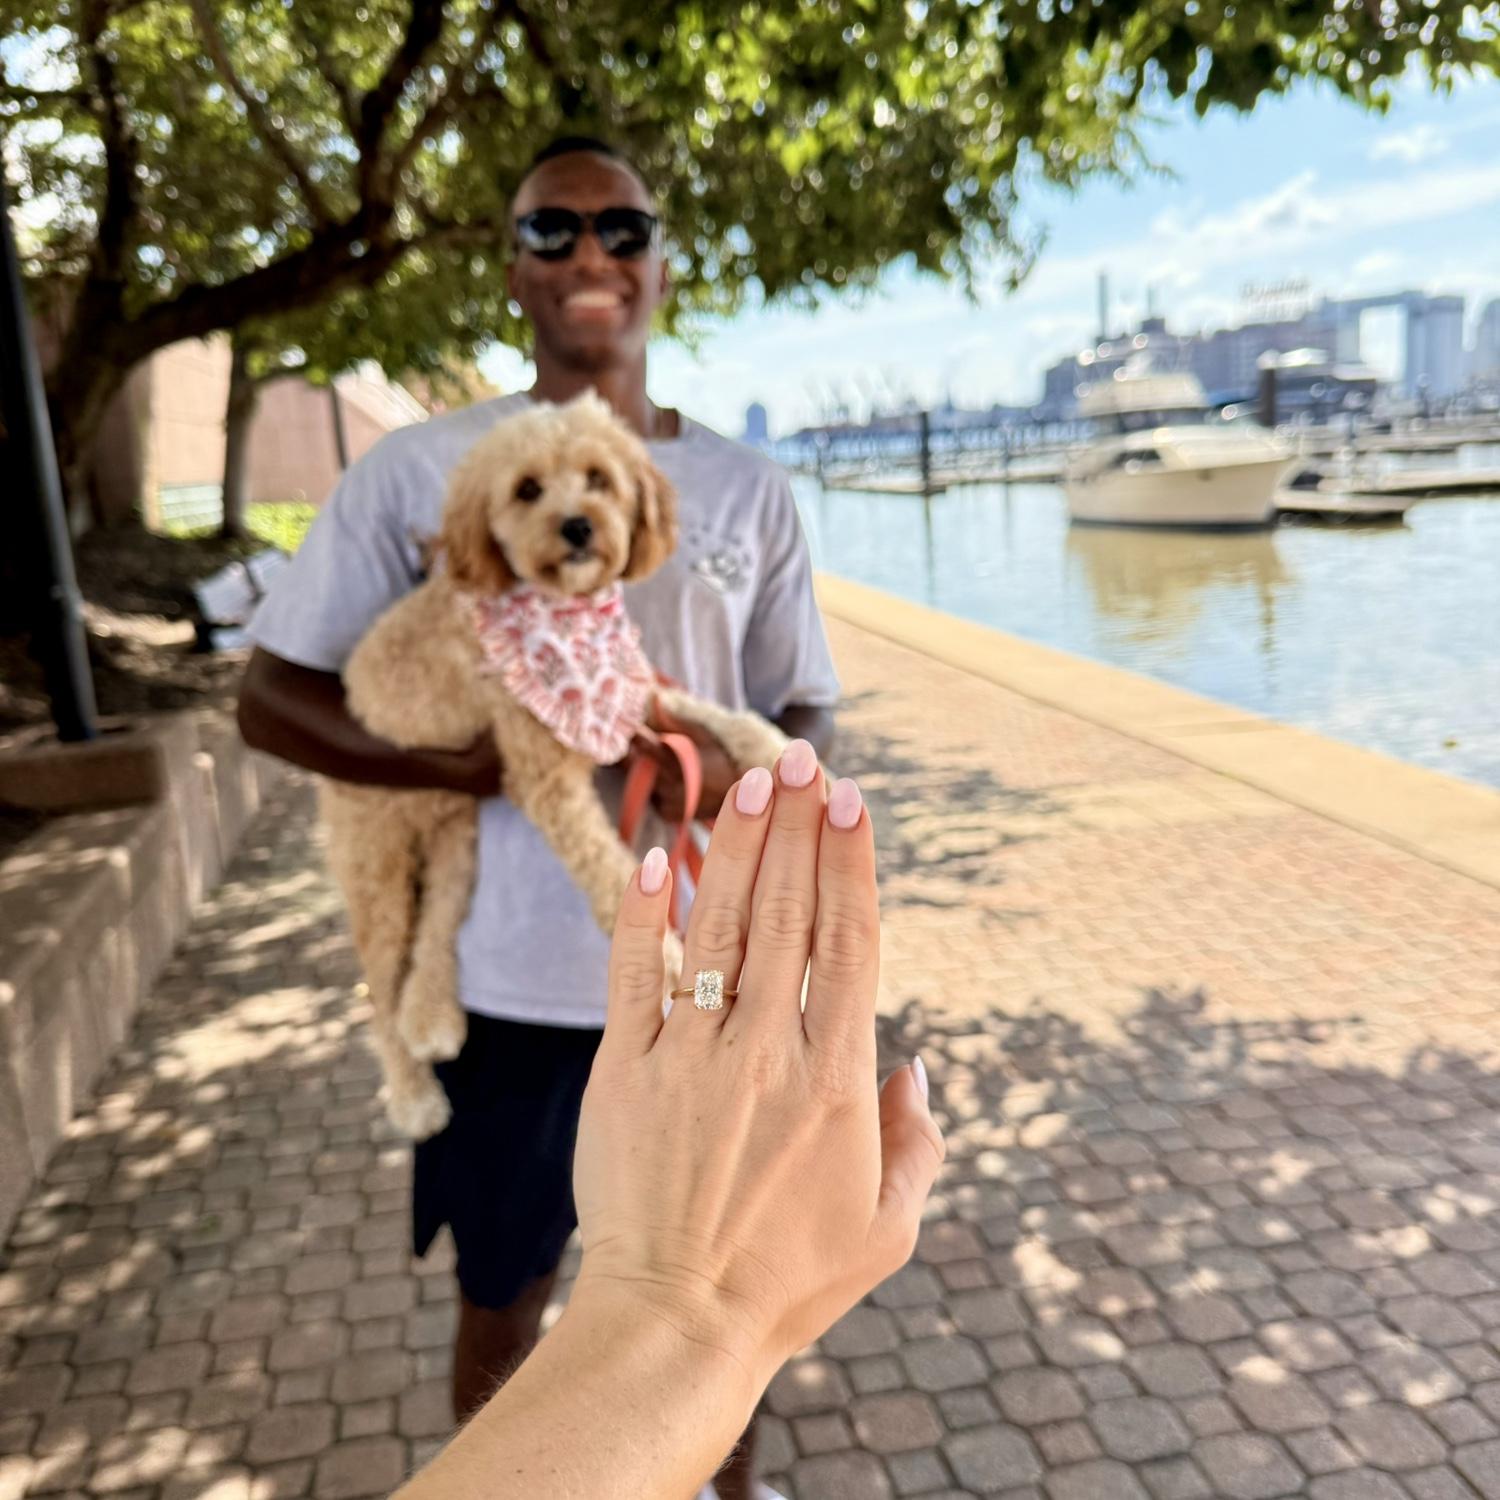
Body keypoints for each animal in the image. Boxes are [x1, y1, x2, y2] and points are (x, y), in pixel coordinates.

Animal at [321, 394, 790, 1138]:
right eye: (526, 489)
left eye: (598, 478)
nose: (577, 525)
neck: (567, 618)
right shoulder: (544, 774)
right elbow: (608, 868)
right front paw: (664, 954)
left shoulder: (630, 696)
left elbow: (698, 705)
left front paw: (767, 743)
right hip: (376, 864)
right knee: (381, 989)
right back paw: (413, 1095)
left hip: (457, 842)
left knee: (436, 932)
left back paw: (434, 1016)